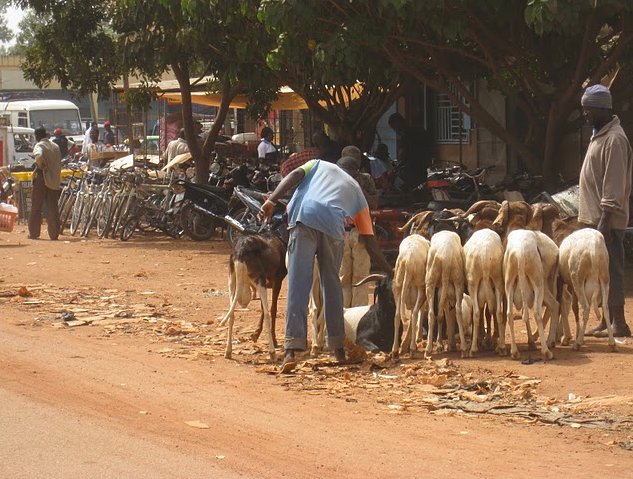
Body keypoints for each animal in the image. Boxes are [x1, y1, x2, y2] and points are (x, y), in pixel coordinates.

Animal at [218, 234, 286, 362]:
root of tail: (241, 251)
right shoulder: (276, 282)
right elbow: (272, 309)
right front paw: (273, 341)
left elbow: (263, 309)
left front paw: (255, 335)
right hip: (259, 281)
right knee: (268, 314)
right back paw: (272, 352)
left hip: (232, 281)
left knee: (232, 315)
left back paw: (228, 351)